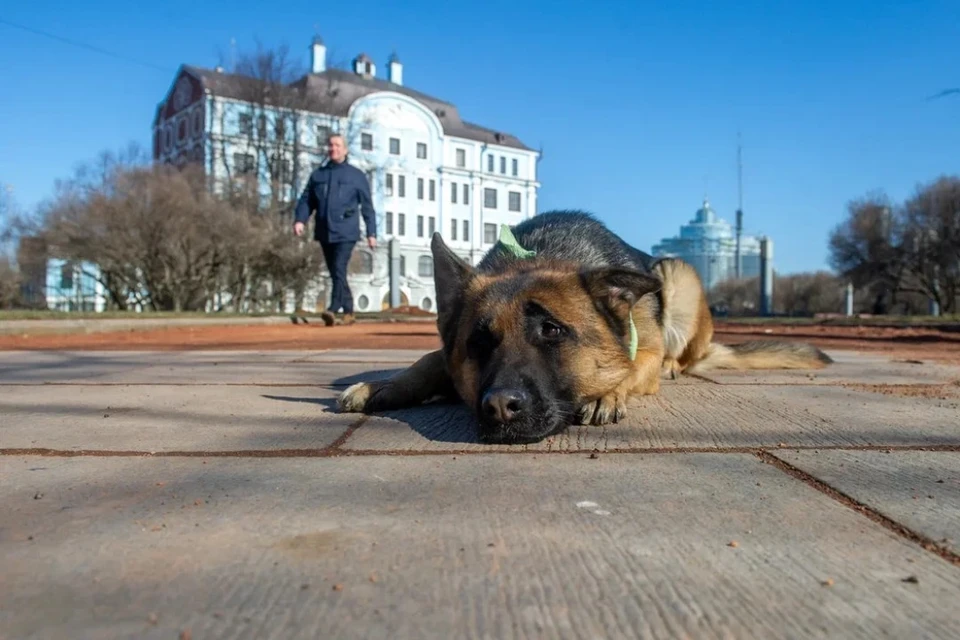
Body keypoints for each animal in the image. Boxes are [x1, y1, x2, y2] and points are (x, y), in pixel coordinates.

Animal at [340, 210, 832, 444]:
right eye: (479, 342)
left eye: (552, 331)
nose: (498, 407)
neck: (540, 253)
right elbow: (429, 359)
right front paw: (385, 385)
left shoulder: (643, 349)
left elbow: (631, 368)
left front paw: (606, 393)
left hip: (677, 273)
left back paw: (673, 367)